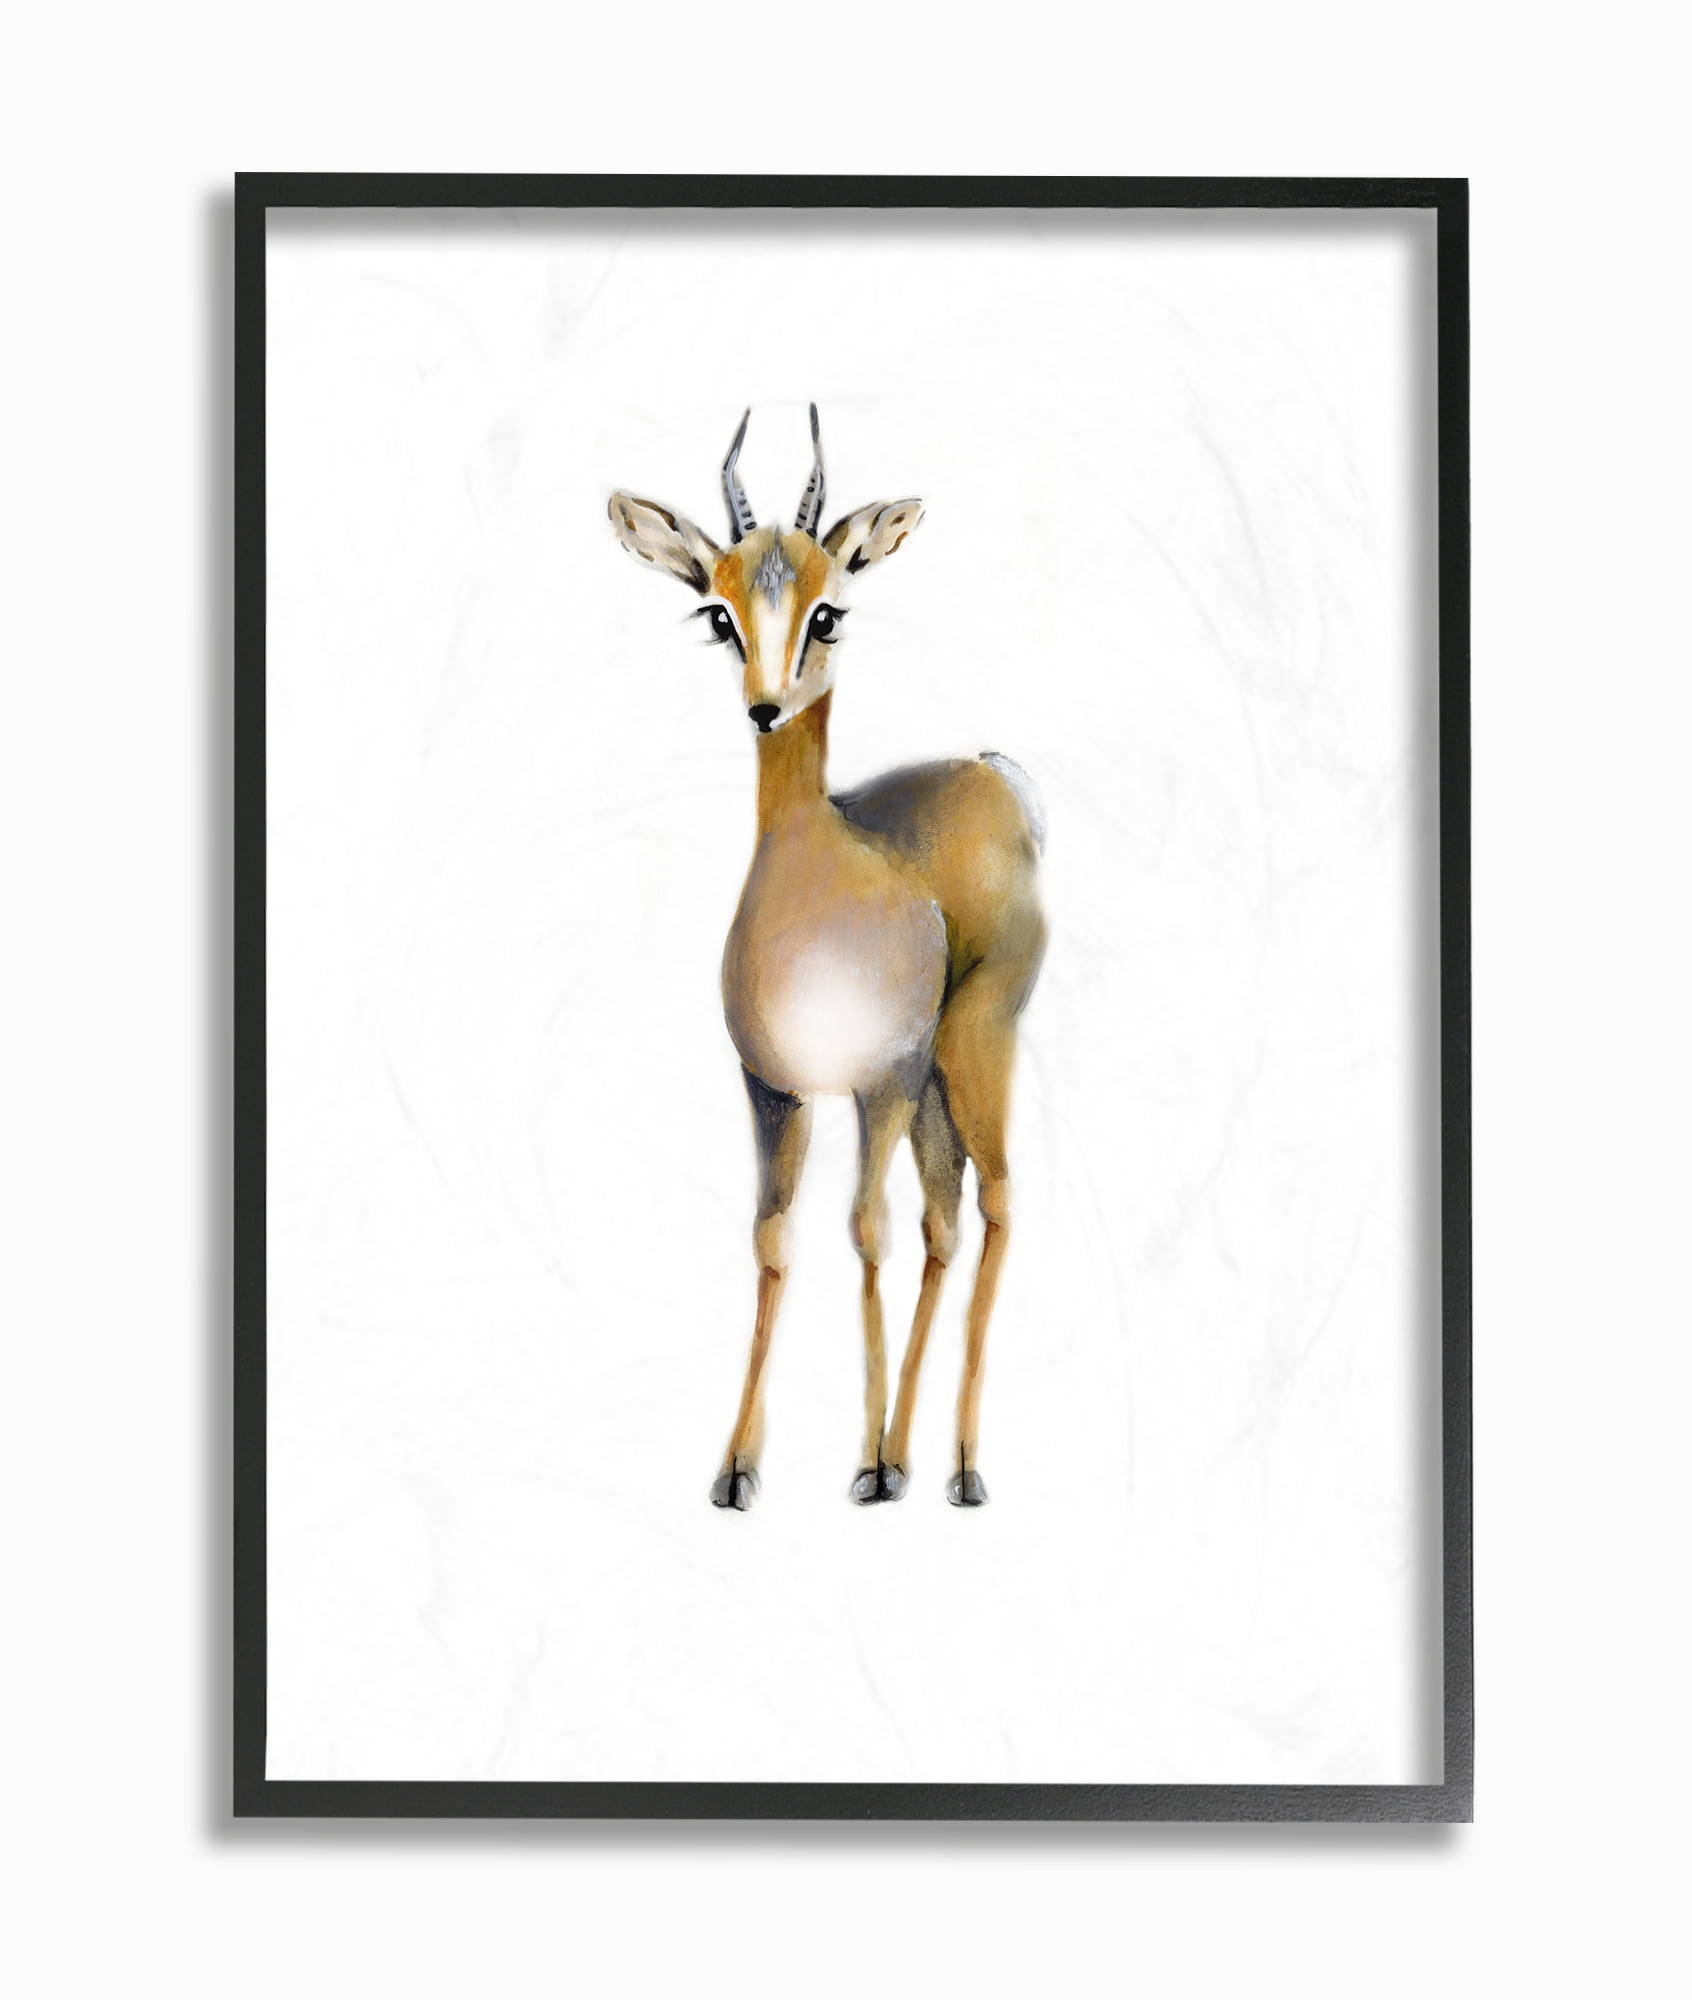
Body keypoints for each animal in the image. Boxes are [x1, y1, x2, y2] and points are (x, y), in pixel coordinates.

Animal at [609, 408, 1046, 1508]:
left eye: (828, 613)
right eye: (719, 612)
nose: (766, 706)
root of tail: (994, 774)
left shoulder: (876, 1081)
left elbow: (865, 1229)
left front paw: (868, 1461)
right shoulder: (776, 1087)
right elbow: (776, 1237)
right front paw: (738, 1468)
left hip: (968, 1050)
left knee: (995, 1201)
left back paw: (956, 1468)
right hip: (932, 1087)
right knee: (945, 1221)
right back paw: (920, 1456)